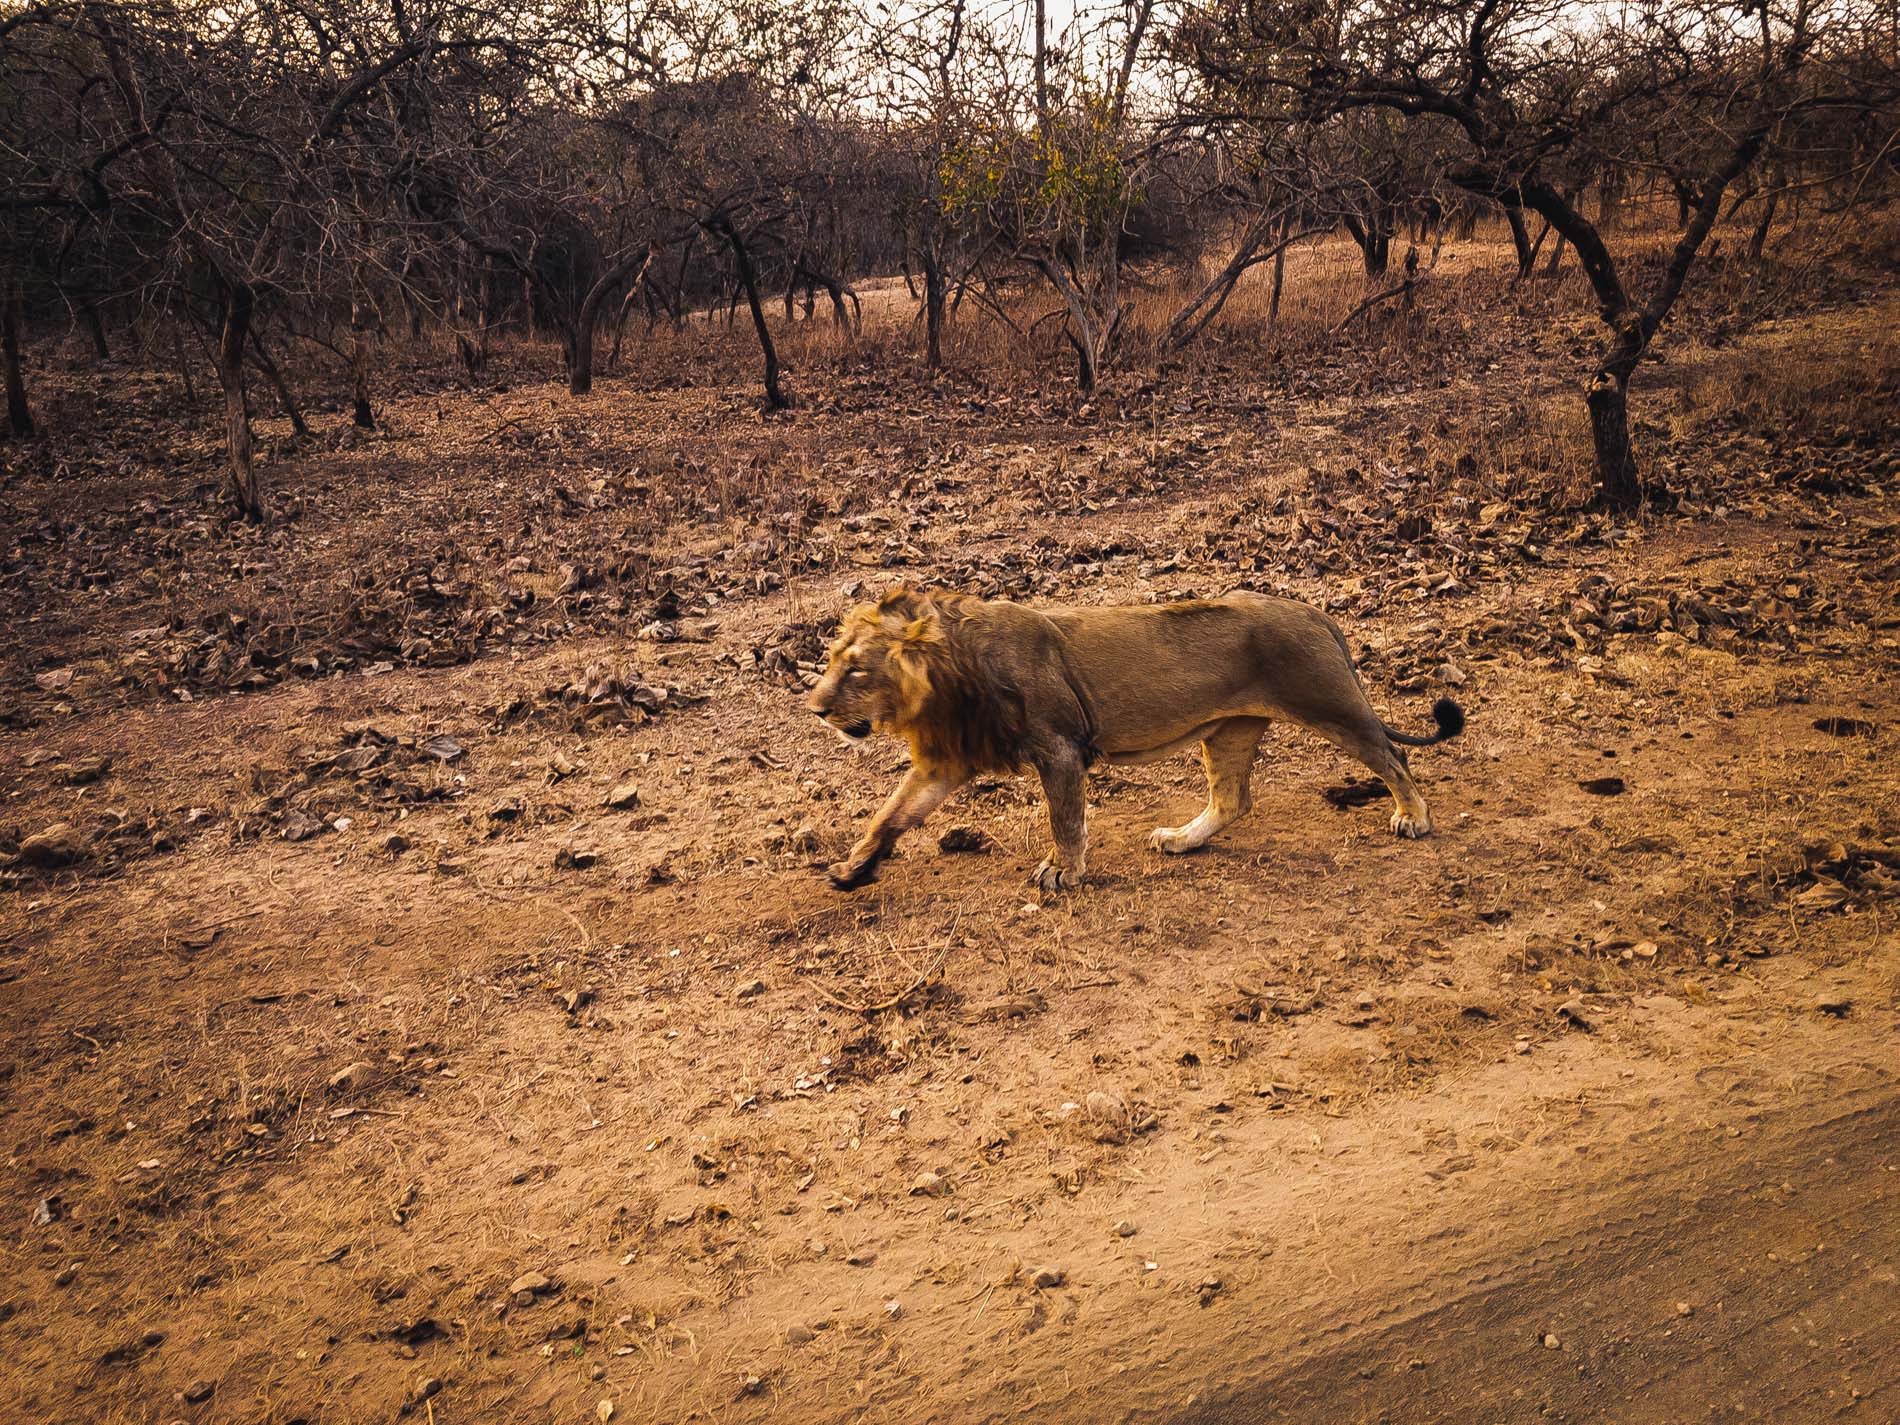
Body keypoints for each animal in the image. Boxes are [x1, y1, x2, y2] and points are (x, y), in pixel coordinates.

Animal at [805, 585, 1466, 889]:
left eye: (856, 668)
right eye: (833, 660)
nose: (815, 708)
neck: (946, 674)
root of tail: (1314, 612)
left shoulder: (1060, 747)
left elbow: (1065, 819)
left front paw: (1063, 873)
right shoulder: (945, 760)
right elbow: (889, 814)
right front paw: (853, 867)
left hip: (1329, 703)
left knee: (1391, 754)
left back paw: (1414, 817)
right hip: (1228, 733)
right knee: (1233, 799)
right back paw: (1180, 840)